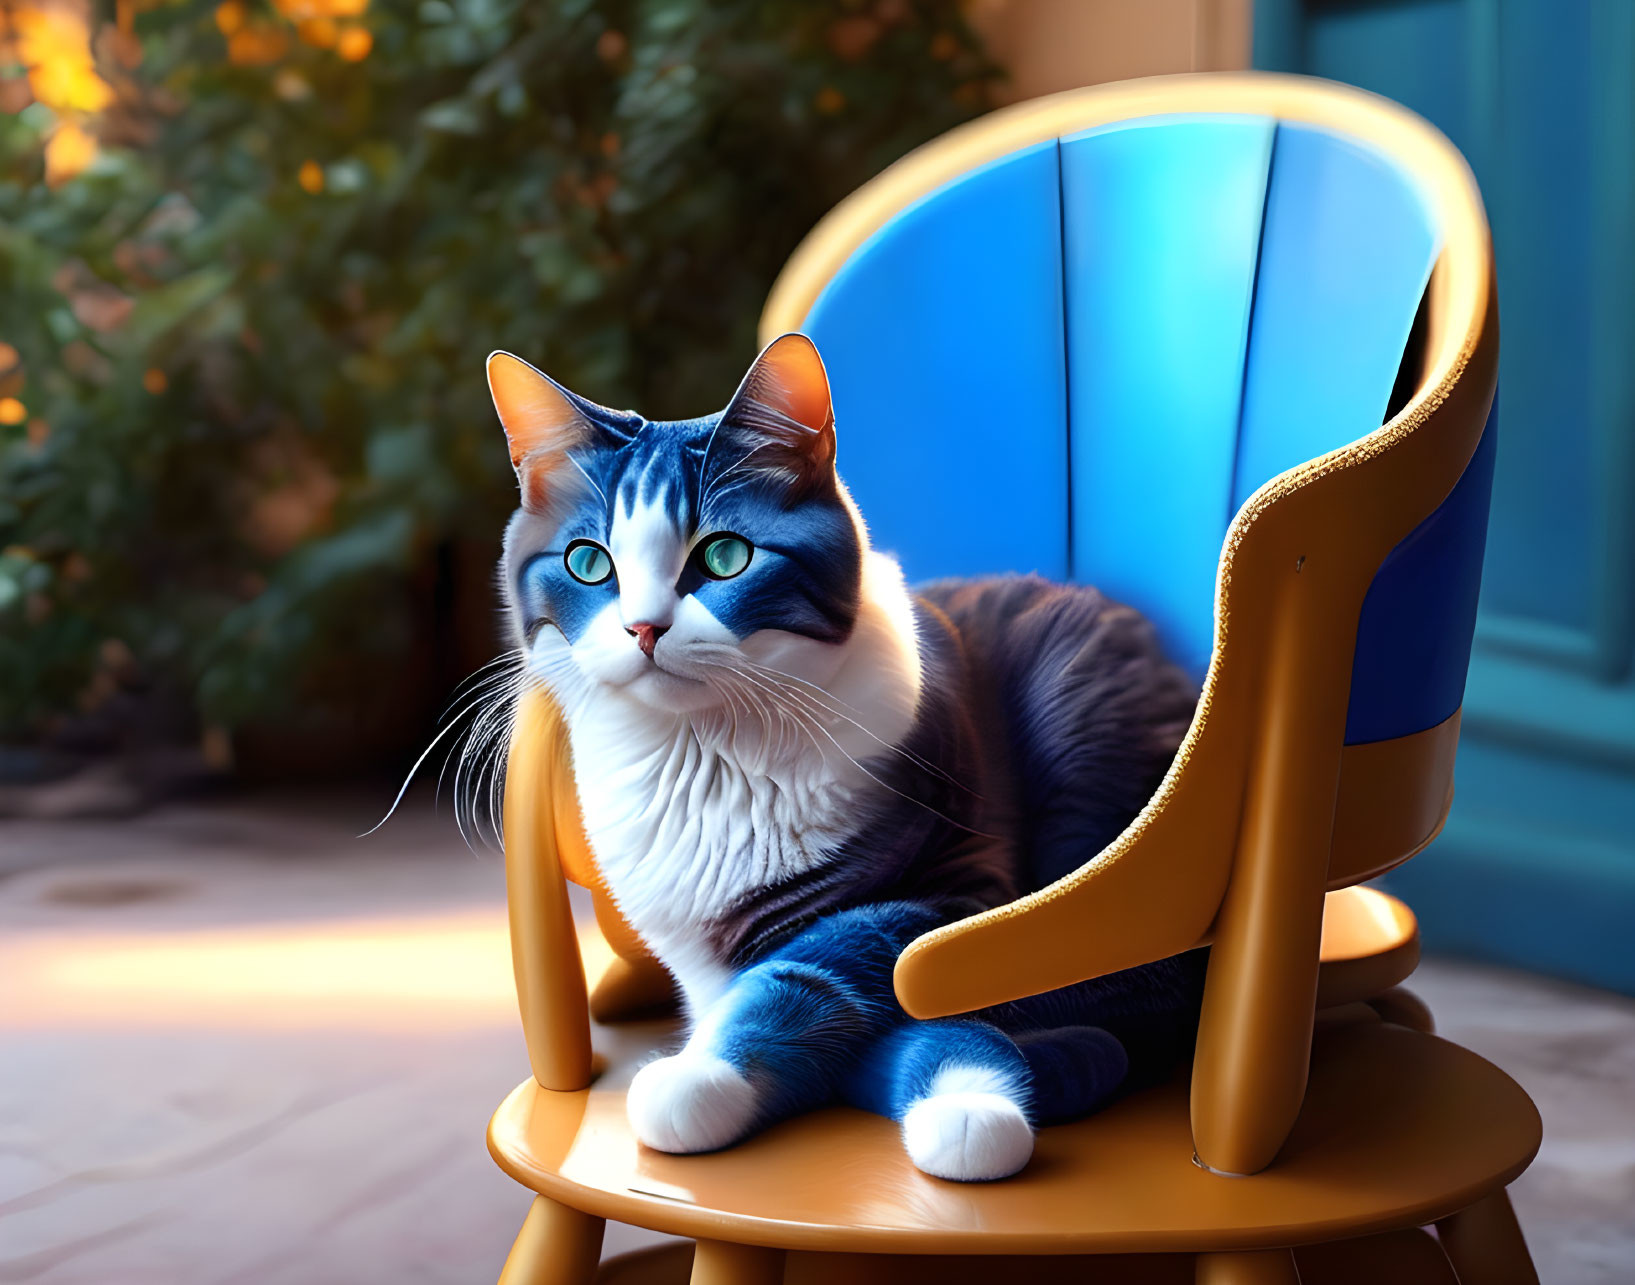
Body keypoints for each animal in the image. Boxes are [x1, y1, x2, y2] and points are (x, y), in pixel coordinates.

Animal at [483, 333, 1203, 1183]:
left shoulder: (954, 885)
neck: (701, 754)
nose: (643, 628)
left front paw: (709, 1075)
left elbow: (830, 968)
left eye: (724, 556)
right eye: (588, 563)